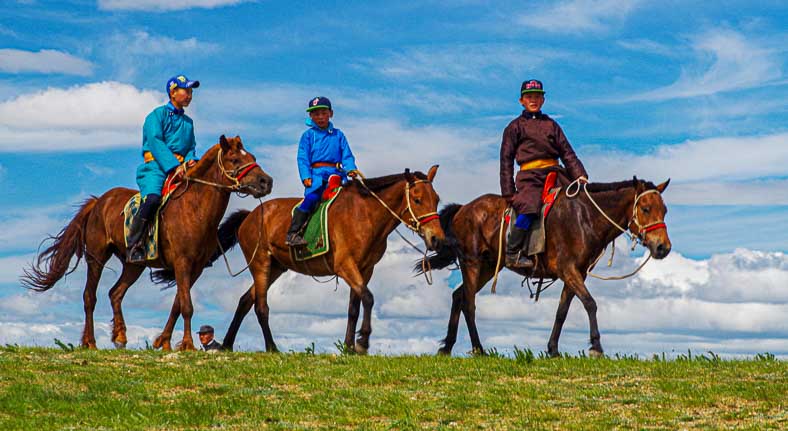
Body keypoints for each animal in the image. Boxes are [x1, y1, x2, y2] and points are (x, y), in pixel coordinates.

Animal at [21, 137, 274, 352]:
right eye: (235, 159)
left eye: (251, 155)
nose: (266, 182)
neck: (194, 208)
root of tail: (98, 202)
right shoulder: (182, 263)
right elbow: (187, 306)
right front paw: (187, 345)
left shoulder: (195, 268)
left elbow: (177, 304)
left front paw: (164, 342)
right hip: (97, 257)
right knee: (89, 297)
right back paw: (90, 342)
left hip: (135, 264)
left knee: (115, 293)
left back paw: (120, 337)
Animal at [159, 166, 444, 354]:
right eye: (417, 199)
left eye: (437, 199)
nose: (436, 239)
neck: (365, 214)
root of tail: (251, 214)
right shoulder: (346, 266)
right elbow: (369, 298)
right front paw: (362, 342)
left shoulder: (365, 269)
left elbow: (355, 306)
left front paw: (349, 346)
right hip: (261, 265)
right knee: (260, 306)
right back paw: (271, 347)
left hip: (276, 269)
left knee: (245, 301)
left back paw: (227, 345)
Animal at [418, 176, 672, 358]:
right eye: (645, 209)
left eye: (665, 210)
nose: (663, 247)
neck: (585, 218)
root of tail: (463, 209)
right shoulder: (568, 270)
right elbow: (590, 303)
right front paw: (596, 347)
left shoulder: (577, 274)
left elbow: (562, 311)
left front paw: (553, 349)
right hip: (472, 263)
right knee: (468, 303)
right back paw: (479, 349)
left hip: (489, 267)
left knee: (458, 296)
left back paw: (447, 347)